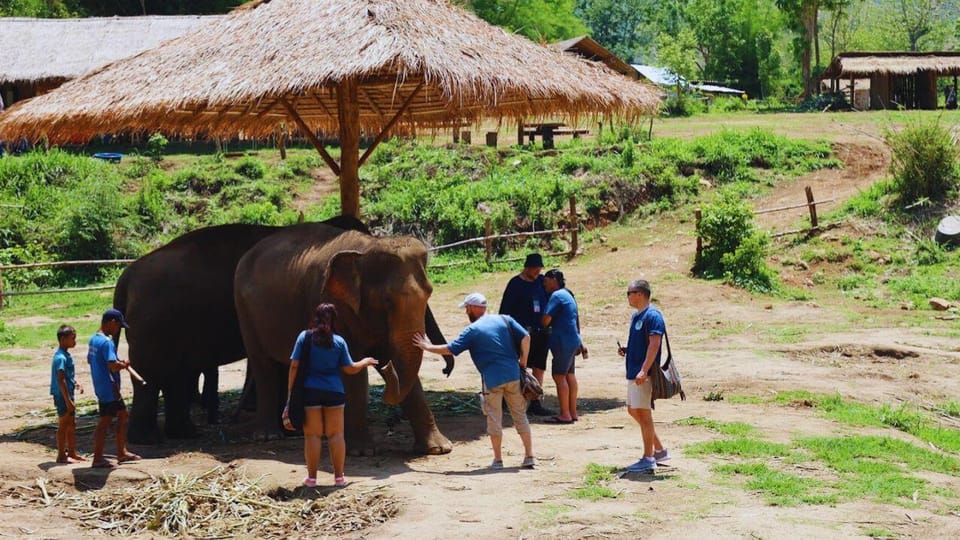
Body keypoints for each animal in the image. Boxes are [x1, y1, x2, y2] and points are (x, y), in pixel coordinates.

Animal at [235, 224, 454, 456]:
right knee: (263, 365)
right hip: (244, 310)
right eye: (387, 300)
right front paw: (362, 452)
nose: (445, 370)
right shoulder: (329, 303)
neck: (366, 249)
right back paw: (269, 436)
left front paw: (440, 448)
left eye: (429, 293)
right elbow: (352, 367)